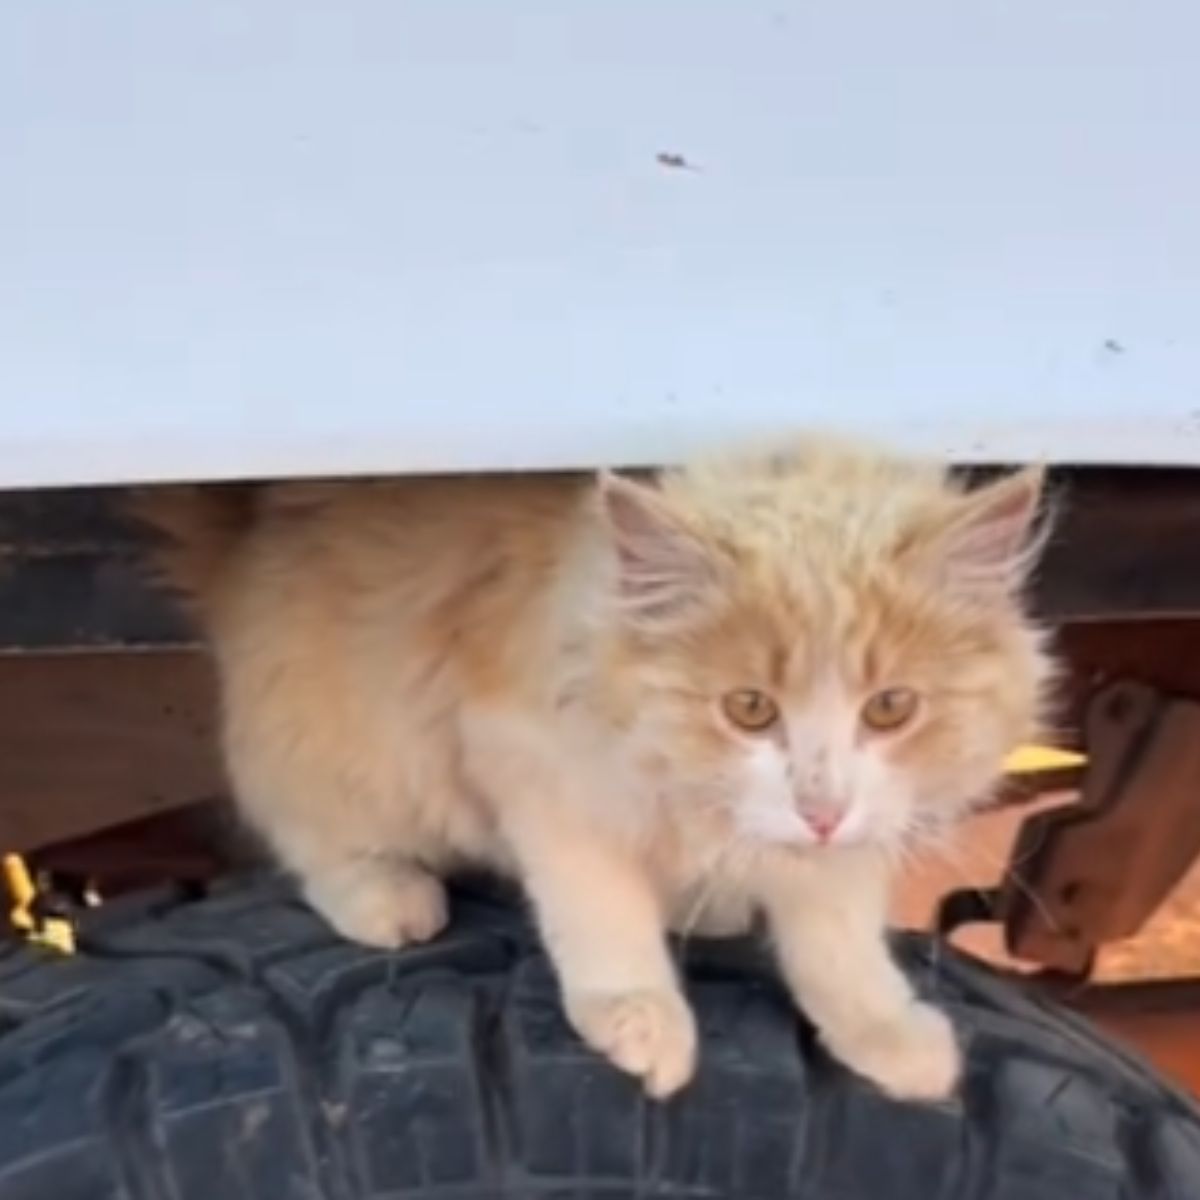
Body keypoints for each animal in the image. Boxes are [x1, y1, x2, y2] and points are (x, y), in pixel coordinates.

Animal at [138, 436, 1051, 1099]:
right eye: (749, 708)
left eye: (891, 708)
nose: (819, 808)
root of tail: (244, 543)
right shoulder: (532, 763)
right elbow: (601, 910)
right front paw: (638, 1016)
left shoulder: (853, 836)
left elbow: (840, 946)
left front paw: (886, 1036)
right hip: (344, 748)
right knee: (313, 841)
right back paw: (388, 896)